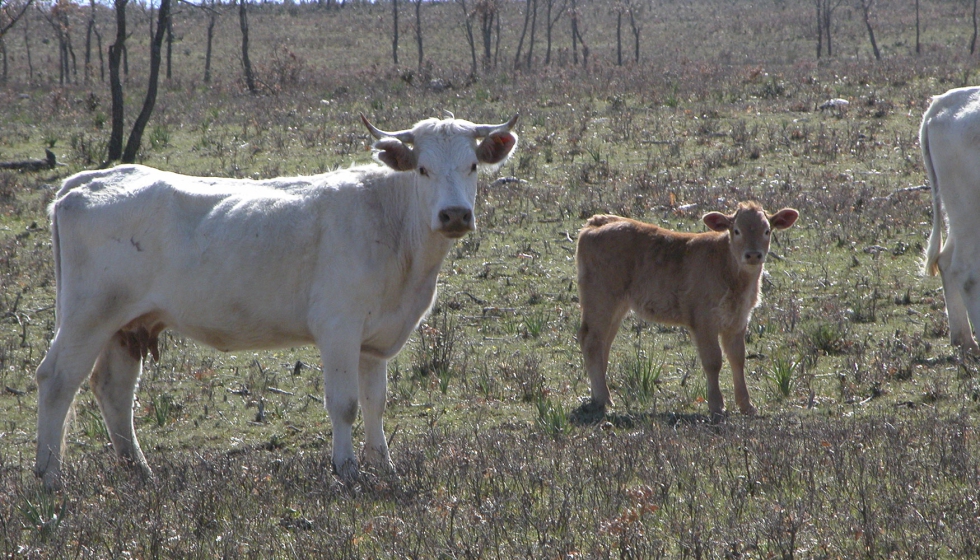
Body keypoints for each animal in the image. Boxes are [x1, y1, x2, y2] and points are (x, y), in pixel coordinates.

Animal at [34, 112, 516, 486]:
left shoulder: (375, 338)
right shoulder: (338, 327)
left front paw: (385, 467)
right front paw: (347, 470)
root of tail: (87, 180)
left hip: (125, 324)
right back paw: (50, 477)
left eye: (473, 165)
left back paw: (140, 473)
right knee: (57, 380)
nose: (455, 214)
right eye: (422, 170)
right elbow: (345, 404)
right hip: (88, 315)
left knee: (113, 389)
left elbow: (376, 402)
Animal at [580, 203, 800, 418]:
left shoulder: (738, 320)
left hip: (617, 306)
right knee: (591, 342)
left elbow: (738, 359)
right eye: (737, 230)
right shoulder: (704, 320)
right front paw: (716, 405)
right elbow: (713, 361)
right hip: (601, 299)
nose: (753, 254)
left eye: (767, 230)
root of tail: (598, 221)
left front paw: (746, 405)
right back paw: (603, 398)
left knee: (604, 343)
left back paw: (599, 396)